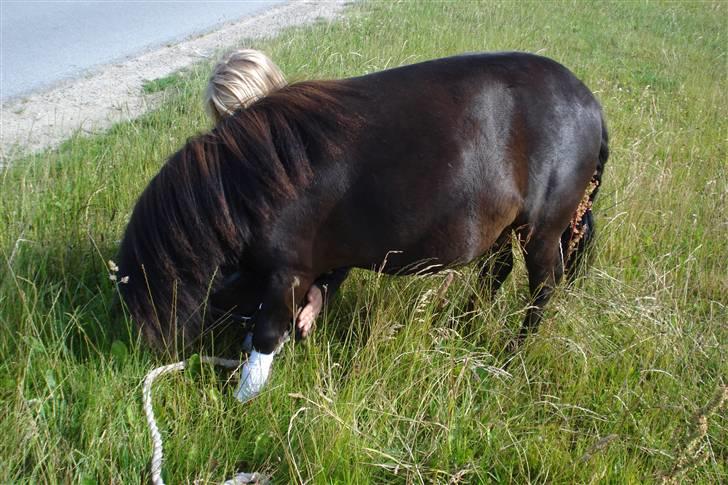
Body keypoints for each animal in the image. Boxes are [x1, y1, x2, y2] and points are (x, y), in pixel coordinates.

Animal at [118, 52, 608, 364]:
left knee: (542, 286)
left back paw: (512, 352)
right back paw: (462, 325)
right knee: (495, 271)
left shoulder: (287, 275)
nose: (145, 349)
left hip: (542, 231)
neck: (251, 182)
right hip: (507, 227)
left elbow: (268, 335)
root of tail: (590, 102)